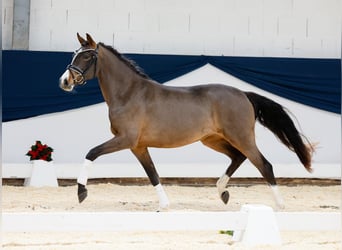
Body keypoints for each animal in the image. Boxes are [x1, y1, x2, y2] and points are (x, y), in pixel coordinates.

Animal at [59, 32, 312, 209]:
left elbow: (91, 153)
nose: (64, 81)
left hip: (241, 137)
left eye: (86, 56)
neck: (129, 93)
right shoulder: (138, 146)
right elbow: (152, 173)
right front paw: (164, 204)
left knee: (264, 164)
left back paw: (280, 204)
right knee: (238, 157)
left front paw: (81, 192)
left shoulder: (125, 139)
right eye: (74, 54)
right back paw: (222, 192)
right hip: (212, 139)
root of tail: (243, 94)